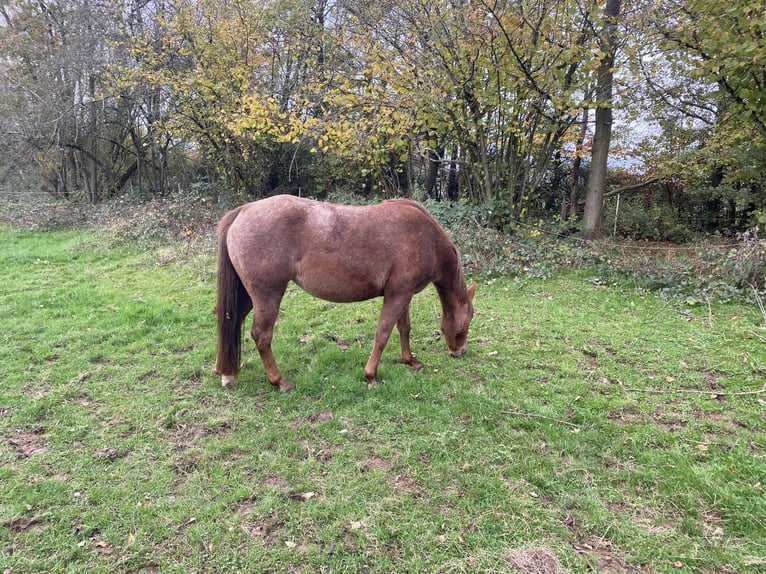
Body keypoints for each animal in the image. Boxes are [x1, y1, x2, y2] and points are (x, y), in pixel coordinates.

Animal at [216, 196, 476, 394]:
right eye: (470, 319)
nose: (460, 352)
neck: (426, 238)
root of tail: (243, 211)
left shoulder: (403, 293)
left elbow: (404, 328)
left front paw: (410, 360)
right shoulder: (398, 294)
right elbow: (383, 333)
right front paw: (371, 376)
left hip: (246, 296)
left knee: (231, 323)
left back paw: (226, 373)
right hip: (268, 295)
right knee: (261, 336)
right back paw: (279, 382)